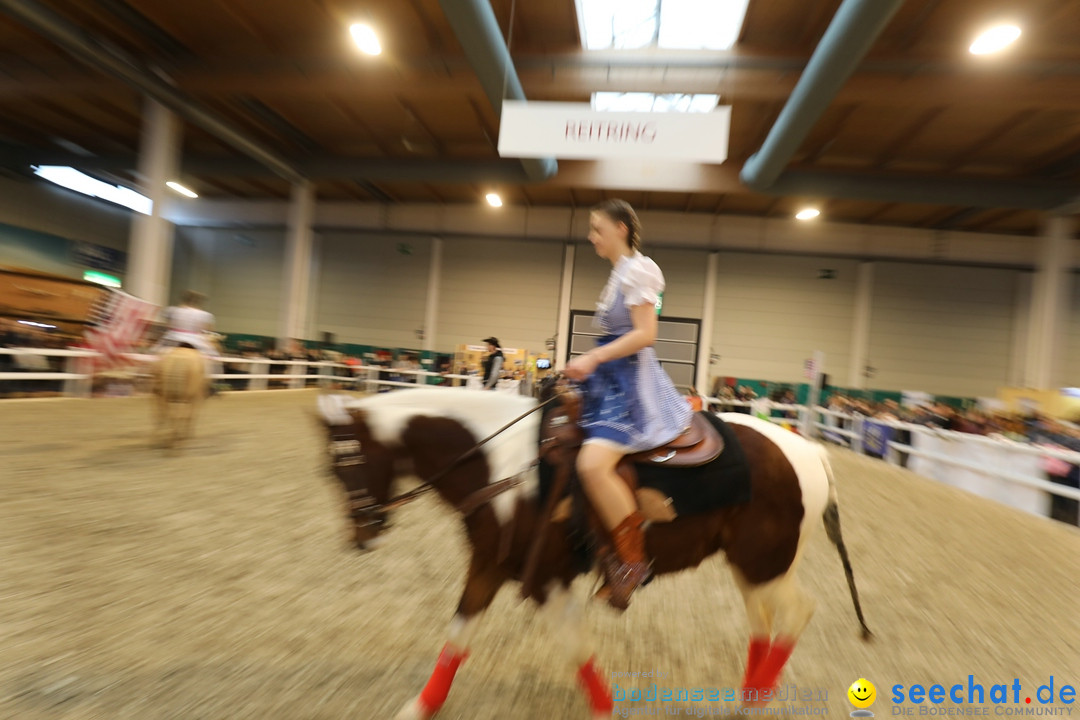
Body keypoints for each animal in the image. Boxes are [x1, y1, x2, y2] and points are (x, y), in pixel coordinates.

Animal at [315, 390, 868, 716]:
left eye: (346, 466)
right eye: (329, 471)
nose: (362, 535)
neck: (502, 467)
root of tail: (810, 450)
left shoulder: (548, 580)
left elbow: (576, 648)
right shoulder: (490, 566)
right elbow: (458, 636)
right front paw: (420, 707)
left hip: (765, 562)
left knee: (797, 612)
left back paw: (756, 702)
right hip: (750, 564)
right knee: (762, 623)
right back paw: (748, 698)